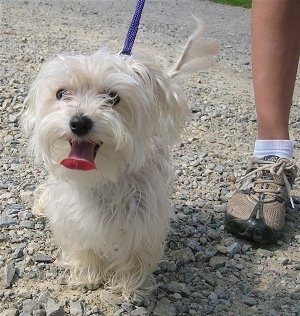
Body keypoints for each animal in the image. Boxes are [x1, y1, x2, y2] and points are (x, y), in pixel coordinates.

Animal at [20, 19, 218, 296]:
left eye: (113, 97)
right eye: (61, 93)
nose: (79, 122)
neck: (102, 177)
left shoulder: (144, 219)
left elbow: (135, 255)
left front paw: (129, 285)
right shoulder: (74, 217)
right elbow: (83, 245)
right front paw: (88, 273)